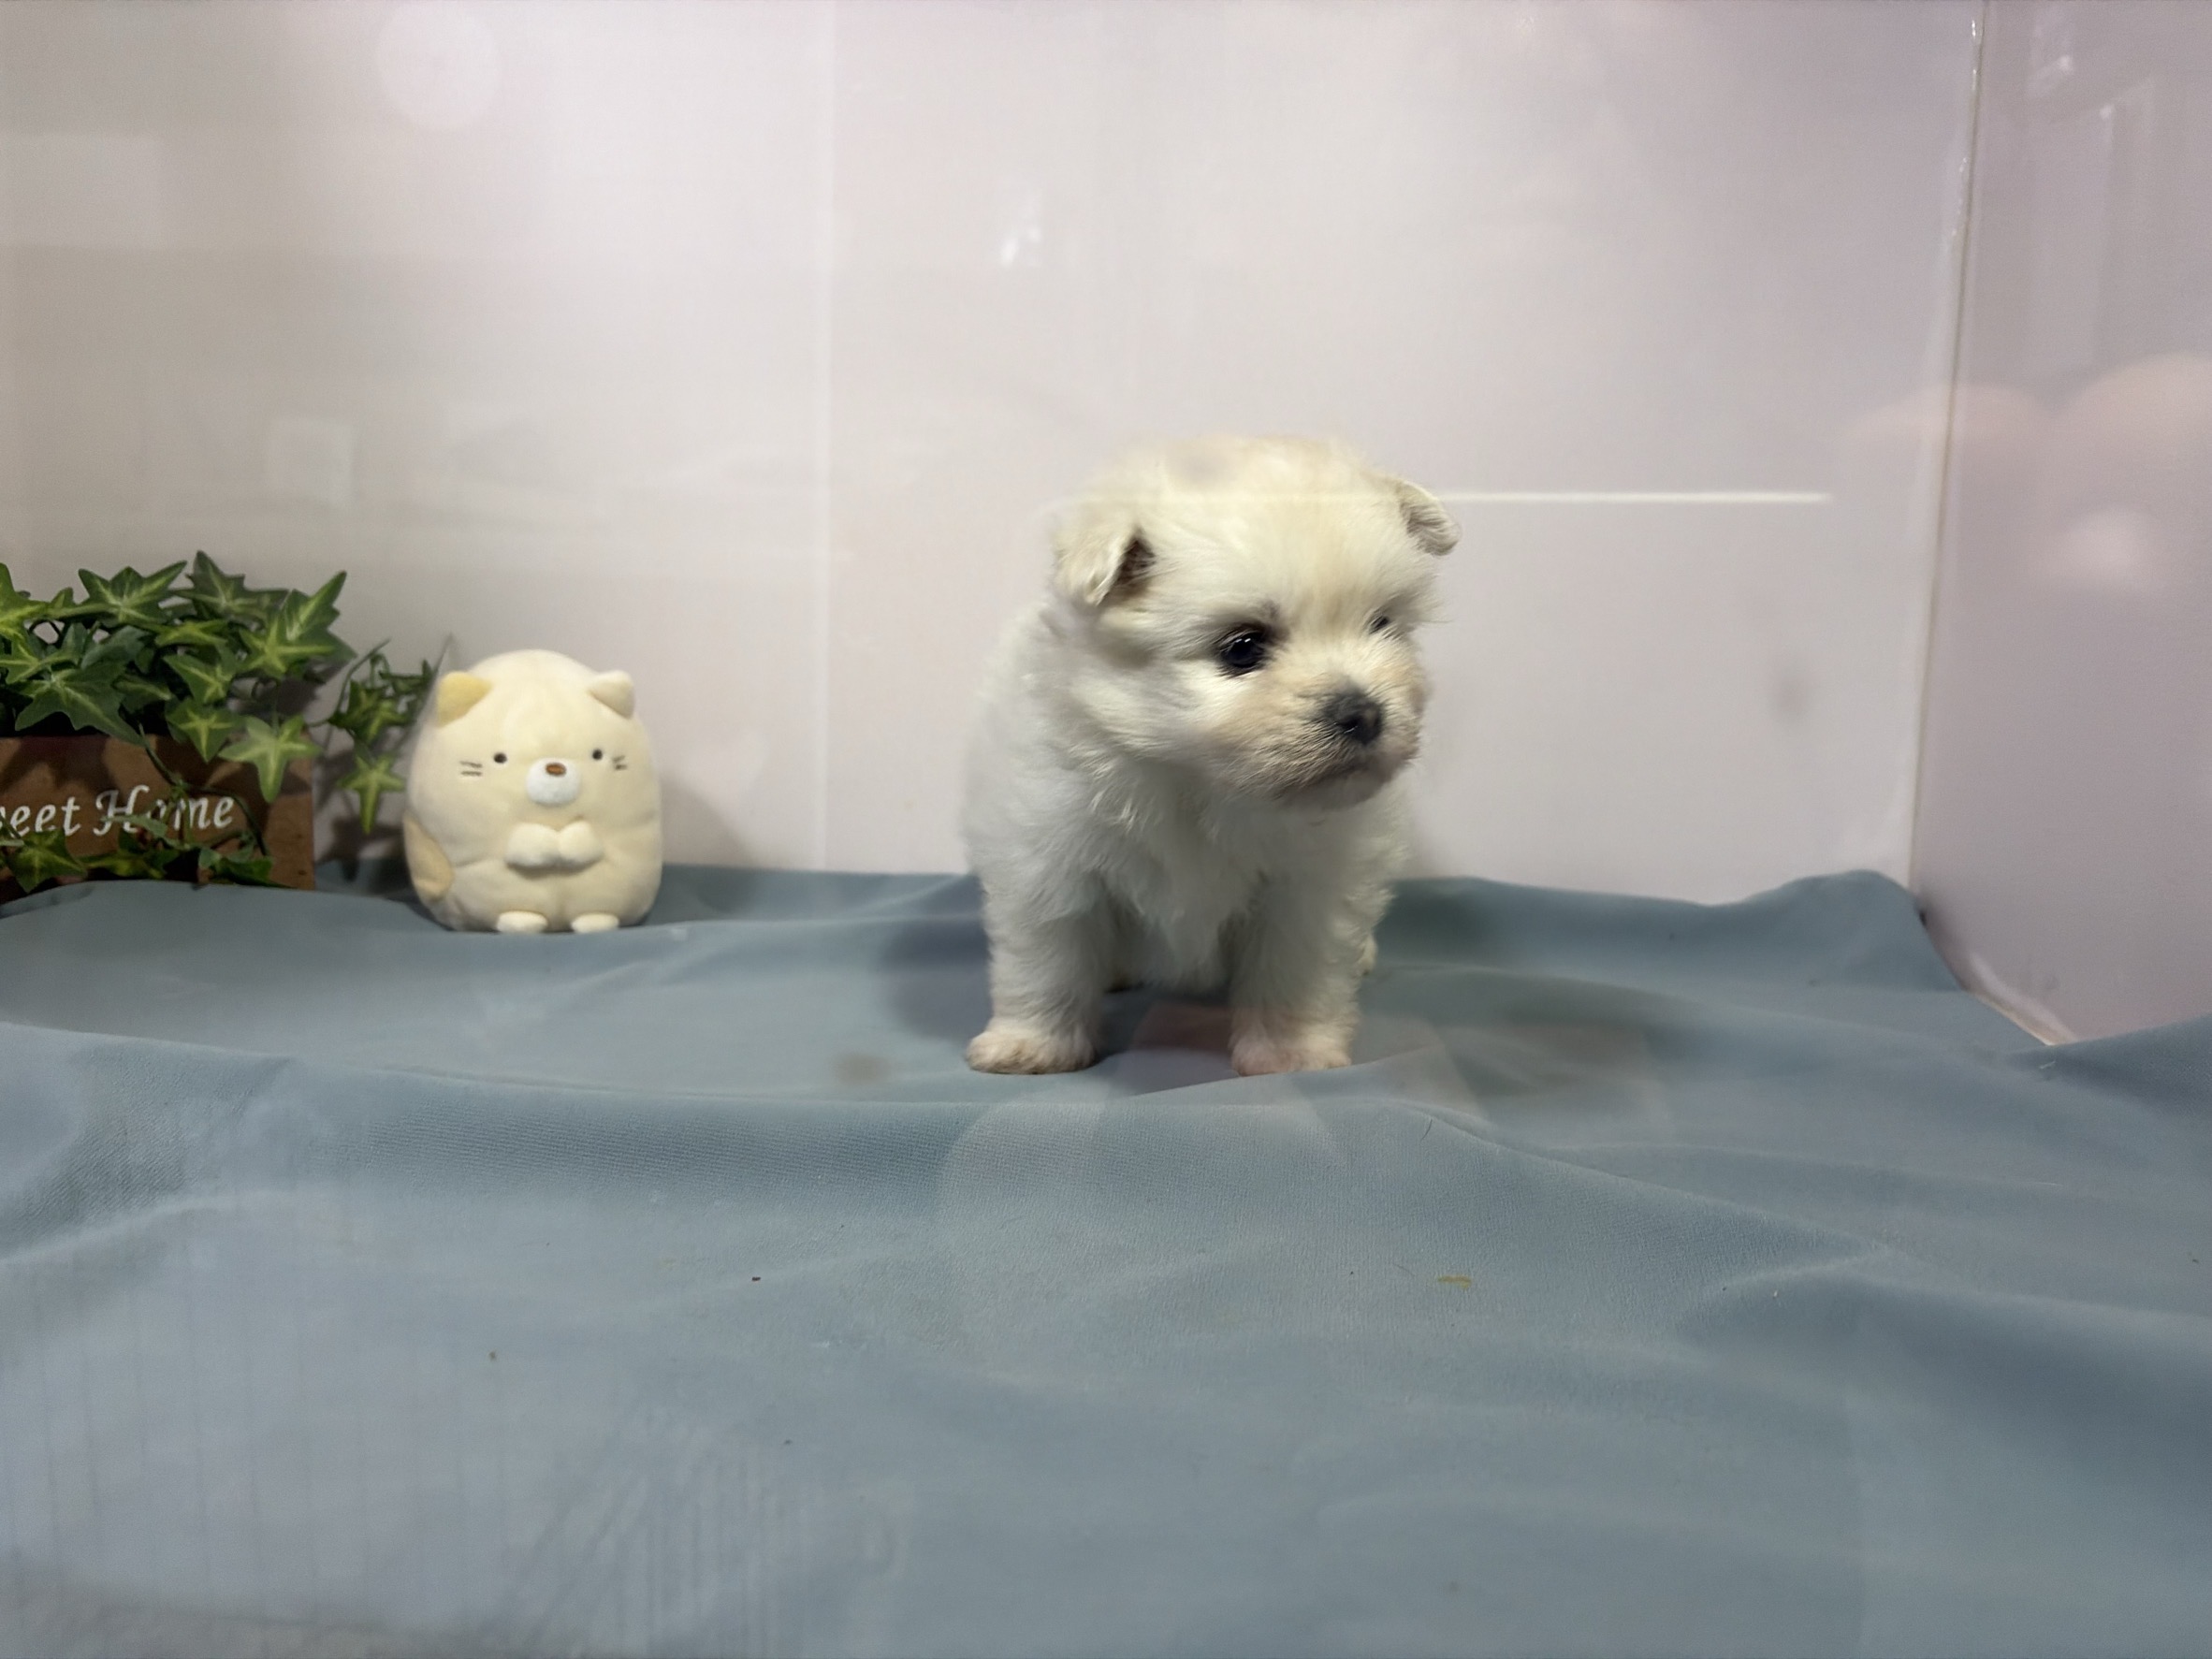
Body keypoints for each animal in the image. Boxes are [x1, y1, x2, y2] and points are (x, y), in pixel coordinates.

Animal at [962, 435, 1457, 1075]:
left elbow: (1295, 972)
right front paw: (1033, 1045)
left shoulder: (1309, 887)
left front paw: (1290, 1051)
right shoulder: (1047, 862)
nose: (1364, 713)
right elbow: (1047, 961)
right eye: (1242, 647)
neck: (1198, 781)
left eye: (1382, 624)